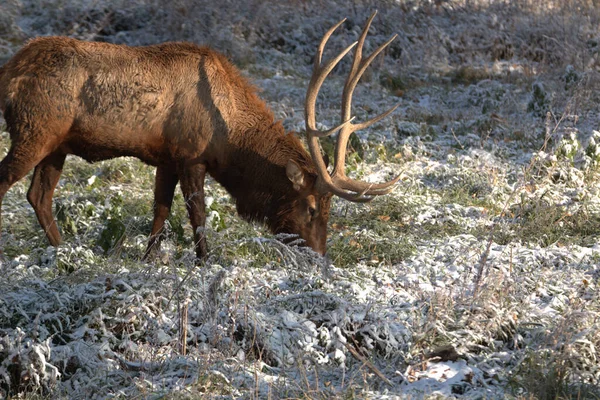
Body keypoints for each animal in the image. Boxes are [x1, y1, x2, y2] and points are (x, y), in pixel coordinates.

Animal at [0, 12, 398, 260]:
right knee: (9, 183)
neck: (229, 141)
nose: (320, 255)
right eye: (312, 207)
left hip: (56, 145)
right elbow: (197, 214)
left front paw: (147, 259)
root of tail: (8, 72)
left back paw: (62, 250)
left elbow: (160, 210)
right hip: (34, 130)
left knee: (39, 196)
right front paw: (205, 261)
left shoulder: (166, 158)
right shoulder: (191, 155)